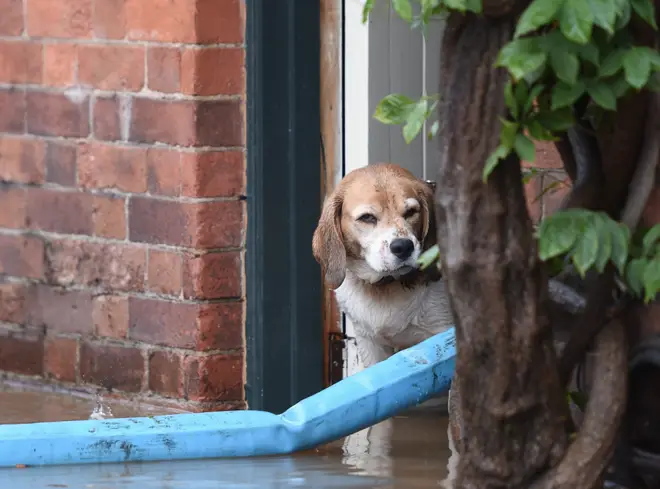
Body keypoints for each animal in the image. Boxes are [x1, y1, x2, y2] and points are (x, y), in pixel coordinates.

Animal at [314, 163, 456, 366]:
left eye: (411, 212)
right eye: (367, 217)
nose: (404, 247)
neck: (385, 286)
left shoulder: (442, 331)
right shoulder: (369, 344)